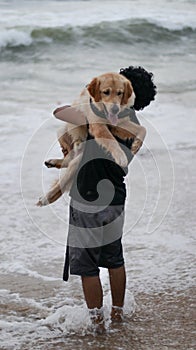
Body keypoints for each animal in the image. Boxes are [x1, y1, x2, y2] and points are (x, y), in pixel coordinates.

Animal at [36, 72, 146, 206]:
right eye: (106, 92)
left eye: (120, 93)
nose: (115, 109)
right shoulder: (97, 125)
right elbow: (111, 140)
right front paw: (121, 156)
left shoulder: (119, 122)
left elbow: (143, 129)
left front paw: (136, 145)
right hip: (62, 131)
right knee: (66, 164)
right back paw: (44, 198)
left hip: (76, 158)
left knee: (69, 162)